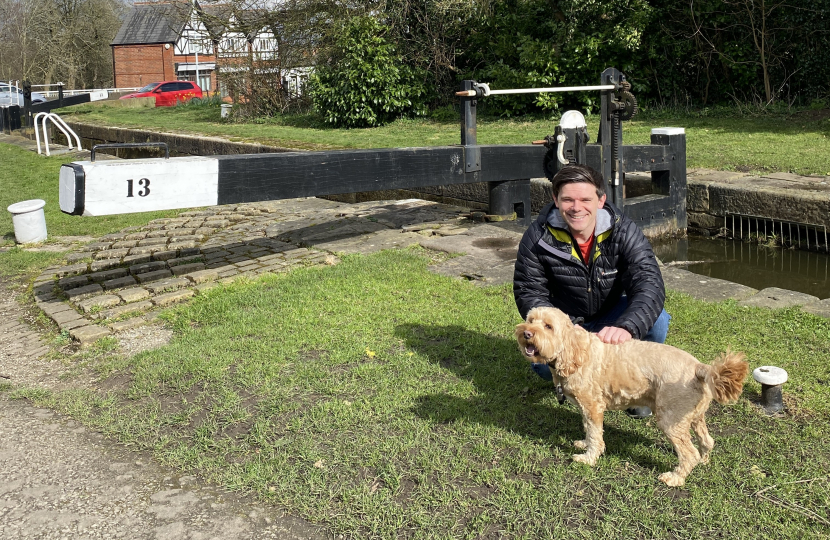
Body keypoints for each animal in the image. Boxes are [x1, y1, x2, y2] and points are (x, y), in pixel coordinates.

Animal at [516, 306, 752, 488]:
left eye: (548, 326)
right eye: (530, 320)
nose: (526, 333)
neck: (574, 352)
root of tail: (699, 368)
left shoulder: (593, 407)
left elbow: (595, 435)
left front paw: (589, 458)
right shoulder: (586, 409)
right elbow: (588, 430)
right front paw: (584, 444)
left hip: (671, 420)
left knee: (688, 453)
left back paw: (675, 478)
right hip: (694, 416)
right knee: (707, 441)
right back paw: (703, 461)